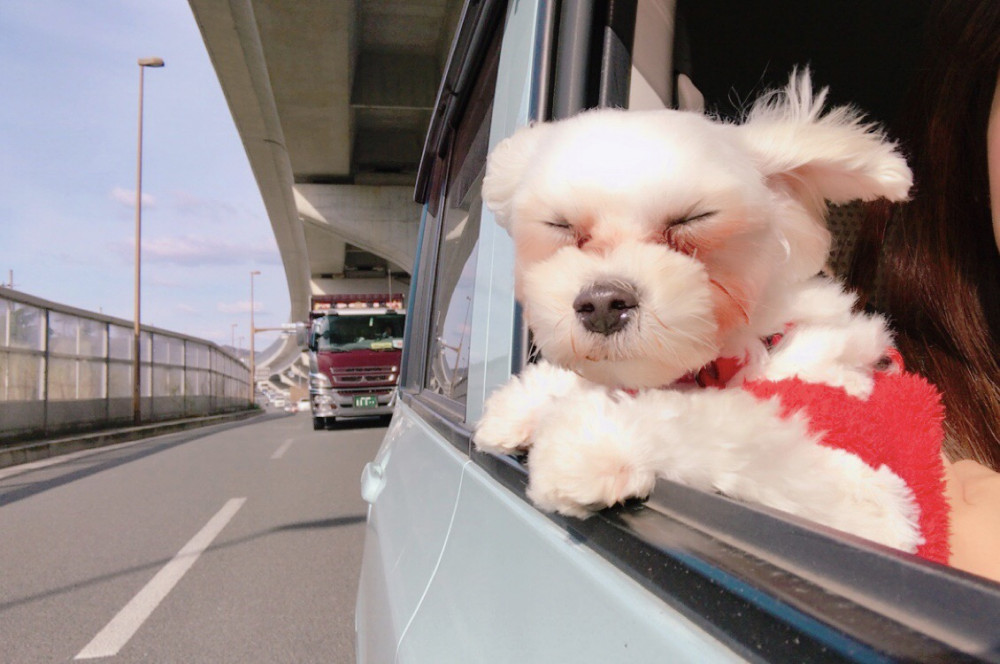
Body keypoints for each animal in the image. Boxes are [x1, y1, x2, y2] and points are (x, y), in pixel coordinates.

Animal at [472, 71, 924, 548]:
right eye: (561, 226)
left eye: (693, 219)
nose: (602, 303)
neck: (759, 344)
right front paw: (522, 404)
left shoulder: (871, 499)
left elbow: (710, 424)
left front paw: (587, 446)